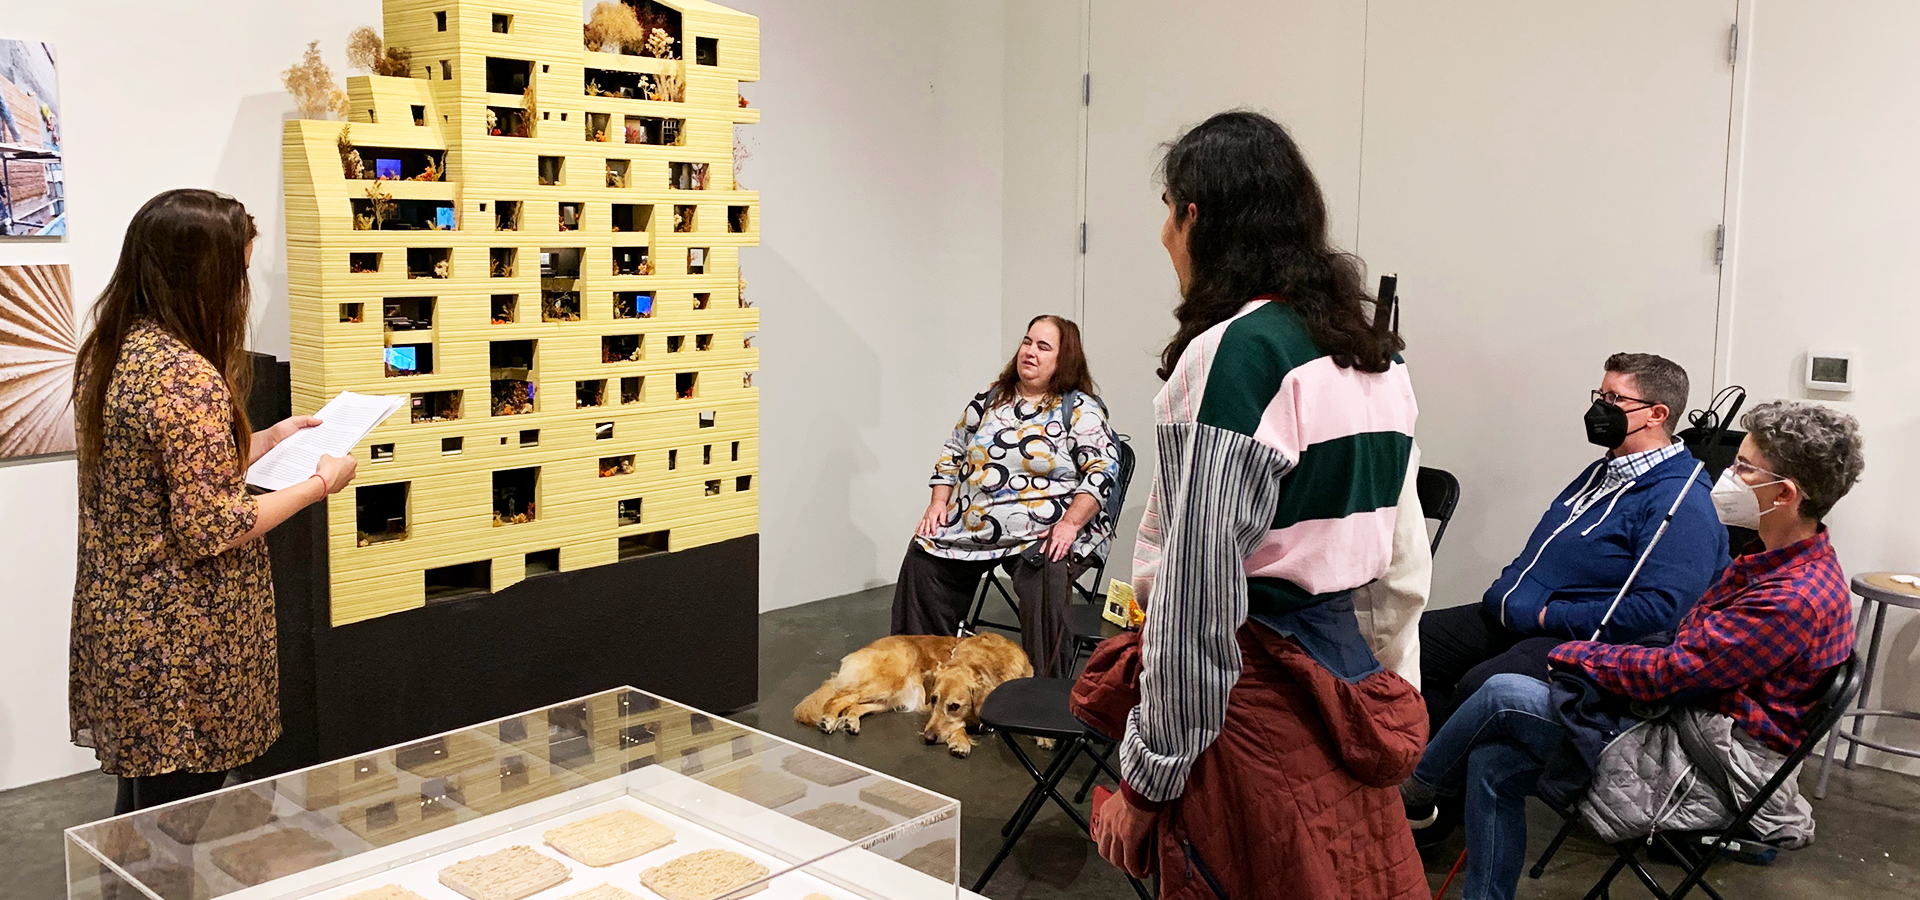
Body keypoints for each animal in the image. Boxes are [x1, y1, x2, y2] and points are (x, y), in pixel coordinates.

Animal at [794, 633, 1036, 756]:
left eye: (954, 706)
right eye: (934, 700)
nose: (927, 737)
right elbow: (957, 727)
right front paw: (961, 740)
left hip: (888, 700)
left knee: (854, 706)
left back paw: (850, 722)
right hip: (886, 682)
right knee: (839, 697)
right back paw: (828, 719)